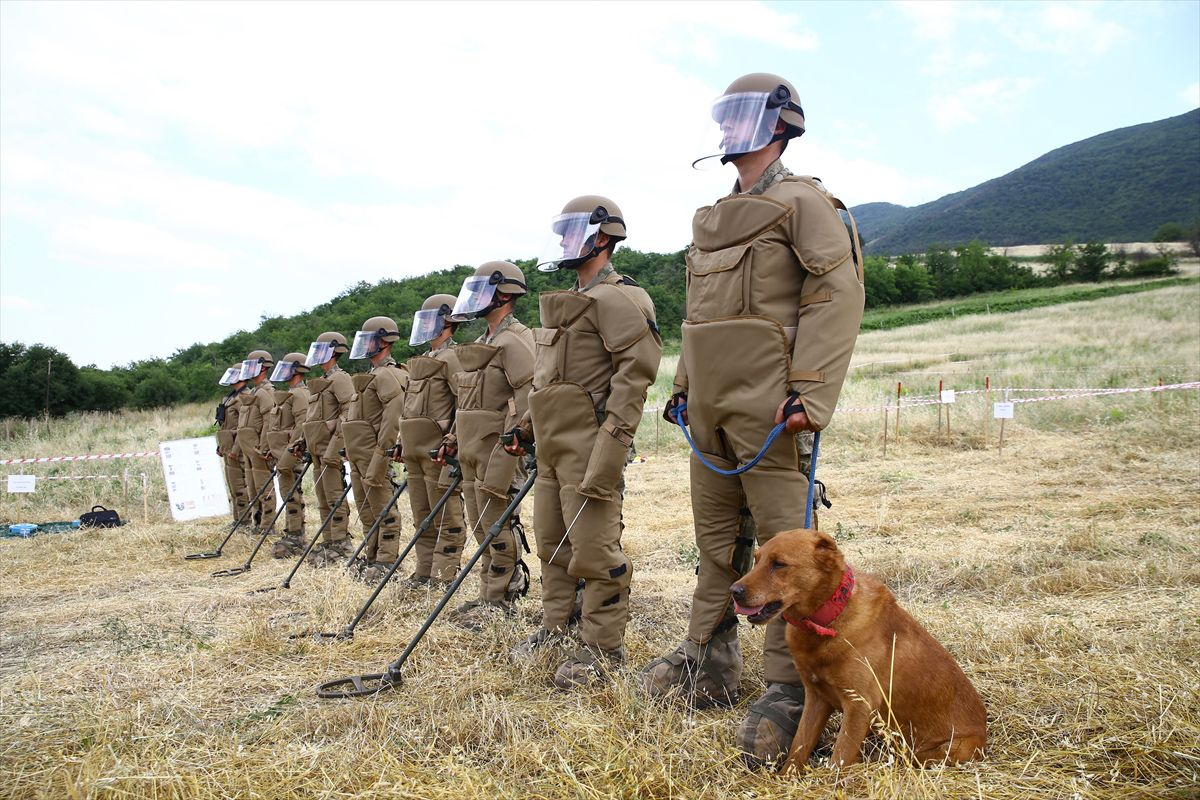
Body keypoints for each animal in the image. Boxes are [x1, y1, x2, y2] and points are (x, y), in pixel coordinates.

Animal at [729, 527, 984, 772]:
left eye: (779, 564)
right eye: (756, 560)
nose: (734, 591)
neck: (827, 620)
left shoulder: (859, 705)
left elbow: (839, 761)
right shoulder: (816, 698)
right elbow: (798, 747)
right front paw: (787, 777)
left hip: (948, 749)